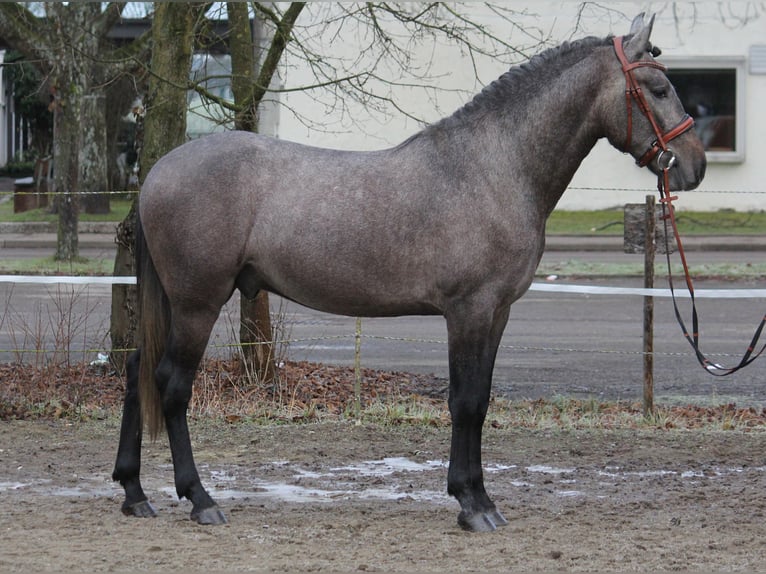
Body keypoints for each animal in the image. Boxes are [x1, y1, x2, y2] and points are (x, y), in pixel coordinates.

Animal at [112, 14, 708, 536]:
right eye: (658, 88)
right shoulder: (468, 311)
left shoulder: (496, 314)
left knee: (137, 369)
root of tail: (157, 171)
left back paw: (134, 493)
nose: (695, 164)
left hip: (175, 304)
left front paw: (480, 498)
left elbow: (480, 400)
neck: (494, 167)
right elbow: (465, 402)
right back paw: (200, 499)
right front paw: (472, 505)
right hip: (198, 304)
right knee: (171, 384)